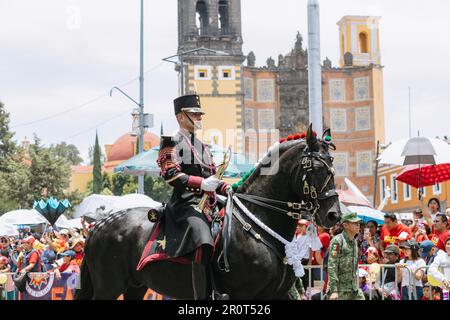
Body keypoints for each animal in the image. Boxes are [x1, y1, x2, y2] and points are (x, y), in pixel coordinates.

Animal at [74, 127, 342, 300]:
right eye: (315, 167)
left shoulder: (277, 294)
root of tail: (99, 225)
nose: (333, 215)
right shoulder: (243, 294)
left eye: (332, 164)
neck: (258, 225)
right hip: (109, 287)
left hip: (136, 286)